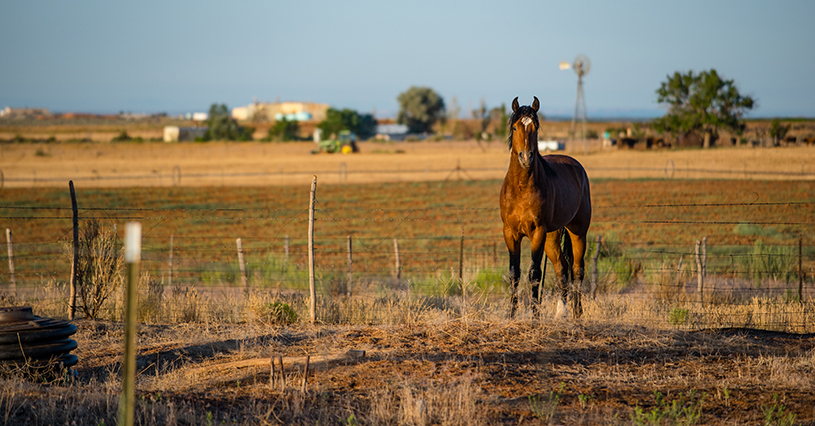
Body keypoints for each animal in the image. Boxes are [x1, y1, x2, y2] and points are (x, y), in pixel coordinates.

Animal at [498, 95, 592, 316]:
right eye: (515, 127)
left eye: (535, 127)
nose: (526, 157)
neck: (521, 188)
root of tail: (577, 167)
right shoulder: (510, 233)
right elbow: (514, 273)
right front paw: (512, 314)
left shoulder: (537, 232)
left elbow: (534, 273)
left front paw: (535, 315)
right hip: (552, 236)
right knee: (561, 268)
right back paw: (561, 312)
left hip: (577, 231)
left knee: (577, 270)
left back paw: (577, 314)